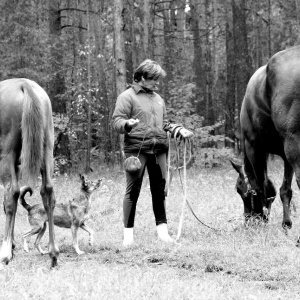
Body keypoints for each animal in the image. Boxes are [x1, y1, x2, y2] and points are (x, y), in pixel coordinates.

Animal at [0, 78, 58, 268]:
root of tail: (24, 84)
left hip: (6, 154)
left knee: (12, 193)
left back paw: (5, 255)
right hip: (46, 149)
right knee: (47, 192)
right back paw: (53, 253)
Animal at [231, 45, 300, 231]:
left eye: (239, 189)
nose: (248, 221)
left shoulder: (254, 147)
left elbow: (260, 186)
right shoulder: (285, 155)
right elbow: (285, 190)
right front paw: (286, 223)